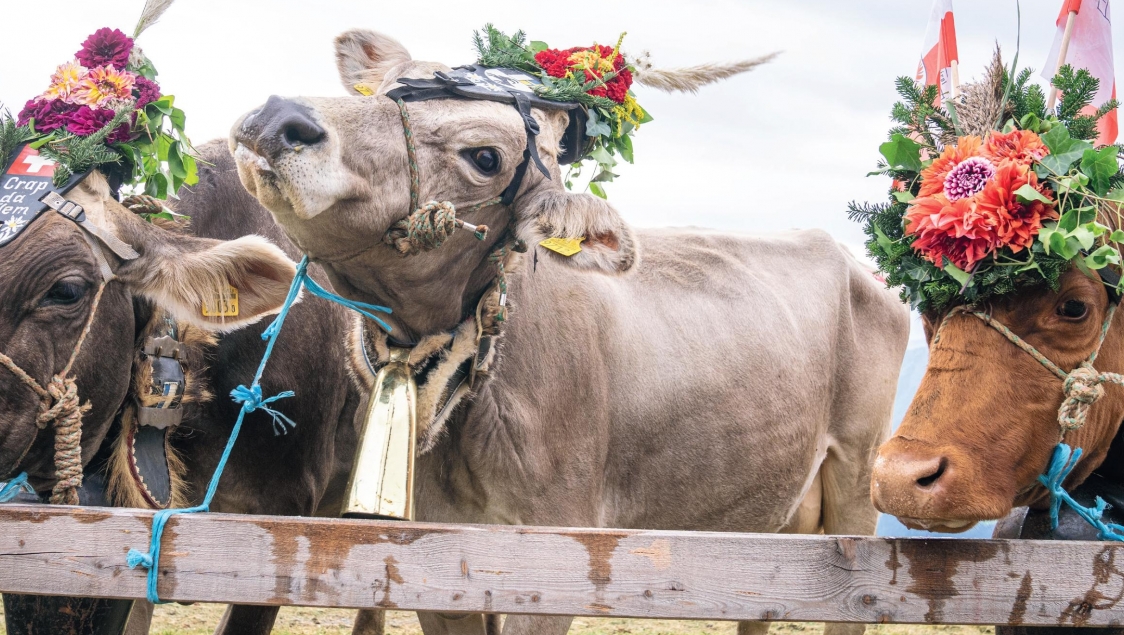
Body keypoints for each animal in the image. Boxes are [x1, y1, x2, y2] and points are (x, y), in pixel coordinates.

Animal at [225, 29, 903, 633]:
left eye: (486, 157)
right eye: (386, 90)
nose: (281, 117)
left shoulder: (559, 556)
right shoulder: (436, 566)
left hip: (856, 492)